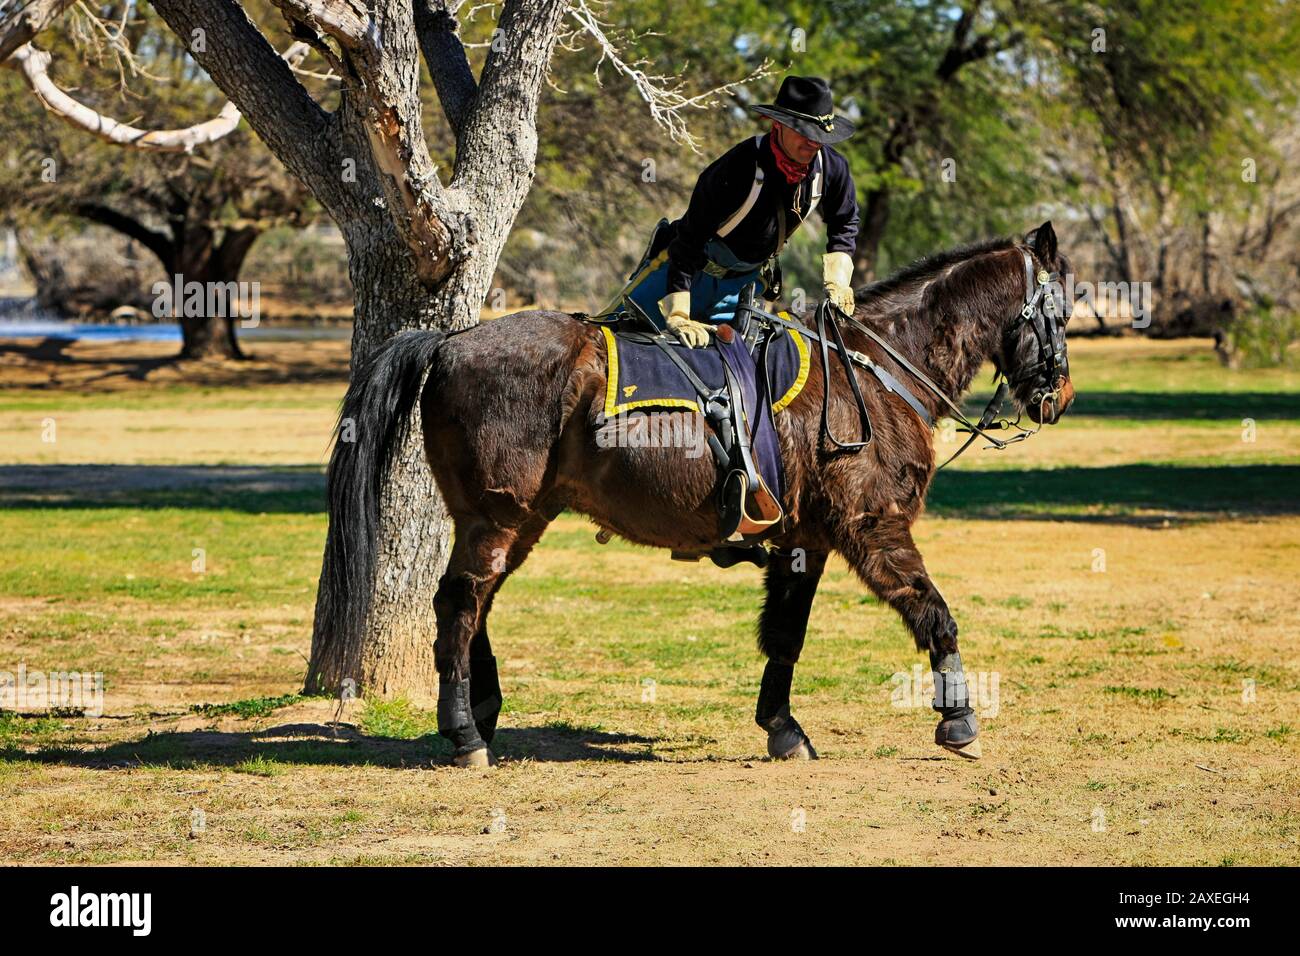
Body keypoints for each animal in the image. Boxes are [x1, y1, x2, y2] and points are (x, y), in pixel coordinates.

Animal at [322, 221, 1076, 764]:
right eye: (1062, 314)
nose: (1061, 396)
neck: (872, 373)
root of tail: (452, 341)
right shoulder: (874, 527)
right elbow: (935, 614)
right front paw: (959, 718)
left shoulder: (805, 542)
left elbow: (786, 636)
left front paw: (782, 727)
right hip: (495, 516)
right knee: (458, 604)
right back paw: (464, 734)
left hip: (519, 519)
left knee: (477, 604)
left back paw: (483, 712)